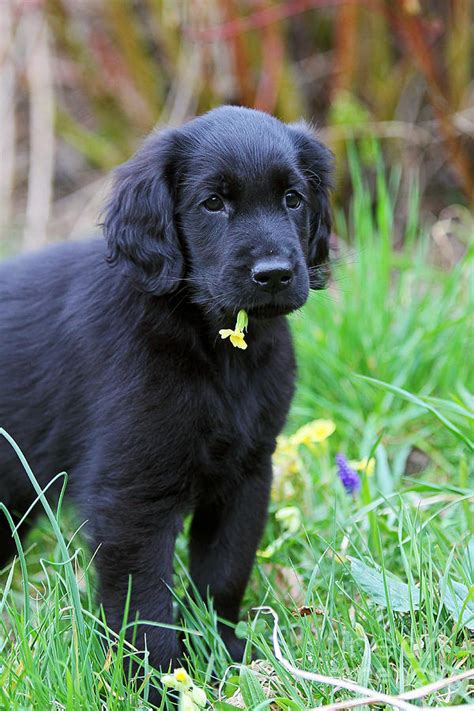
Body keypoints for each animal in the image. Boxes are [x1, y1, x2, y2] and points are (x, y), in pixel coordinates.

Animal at [0, 107, 334, 680]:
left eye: (293, 198)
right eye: (213, 203)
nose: (274, 275)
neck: (213, 345)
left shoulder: (248, 475)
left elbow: (223, 574)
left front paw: (220, 653)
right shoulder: (129, 498)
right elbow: (143, 608)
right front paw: (158, 684)